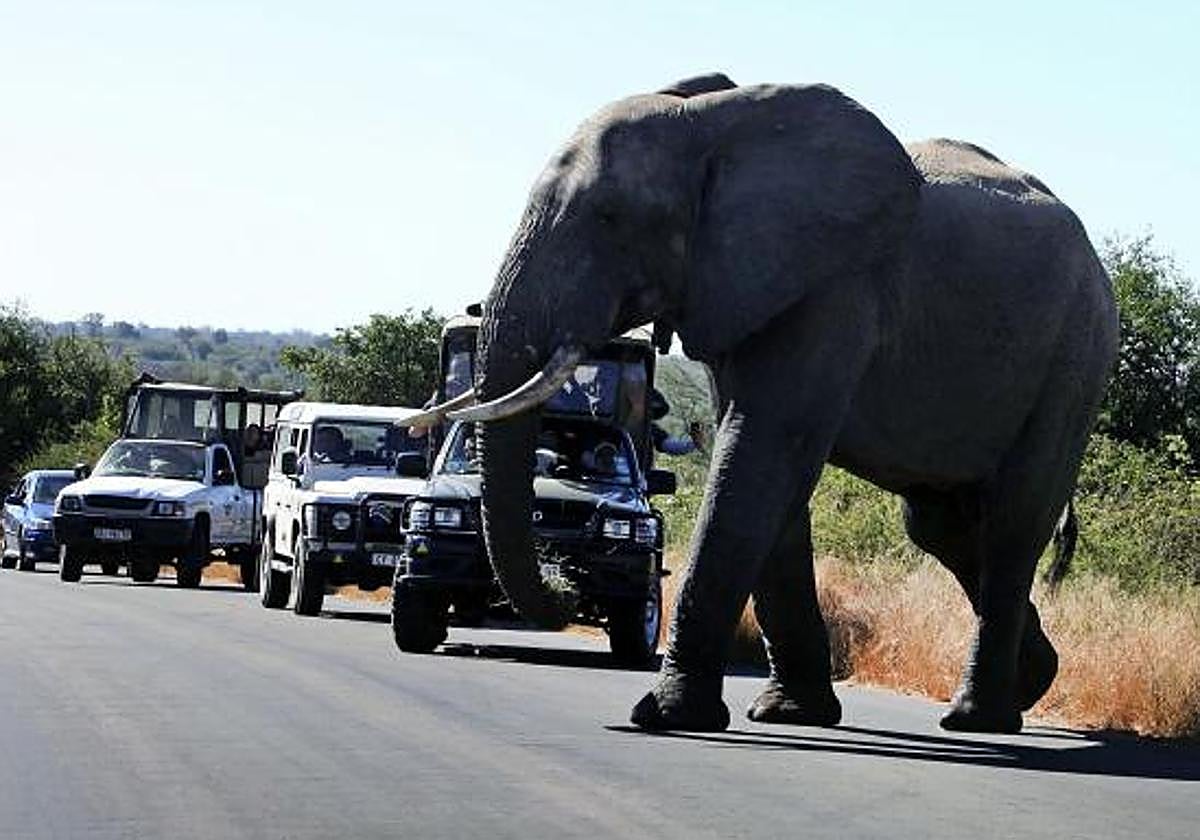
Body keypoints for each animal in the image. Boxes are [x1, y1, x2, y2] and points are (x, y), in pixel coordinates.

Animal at [442, 73, 1119, 734]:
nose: (566, 583)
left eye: (610, 218)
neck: (714, 124)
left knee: (1013, 520)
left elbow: (762, 451)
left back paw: (977, 719)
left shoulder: (835, 289)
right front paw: (788, 713)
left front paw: (664, 716)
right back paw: (1034, 681)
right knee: (939, 523)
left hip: (1077, 352)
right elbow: (763, 470)